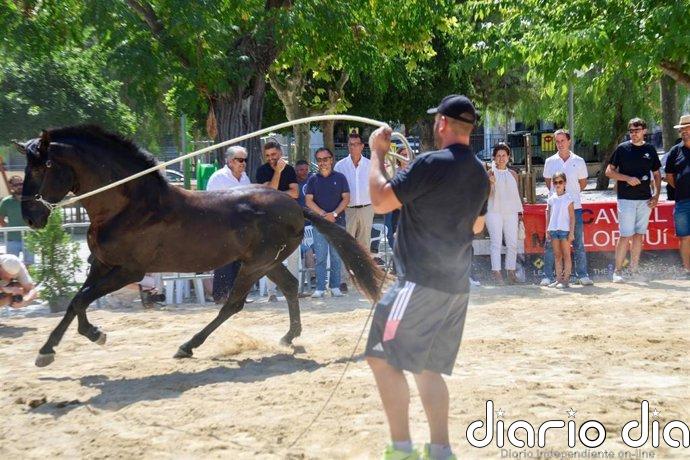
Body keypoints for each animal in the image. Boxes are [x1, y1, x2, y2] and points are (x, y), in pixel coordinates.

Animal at [14, 125, 384, 367]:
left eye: (43, 166)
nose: (30, 216)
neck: (127, 205)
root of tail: (295, 206)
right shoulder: (101, 264)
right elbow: (75, 301)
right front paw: (53, 347)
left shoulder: (129, 270)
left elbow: (80, 300)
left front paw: (88, 336)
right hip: (266, 263)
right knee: (291, 286)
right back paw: (289, 337)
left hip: (255, 265)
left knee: (233, 304)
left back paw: (188, 345)